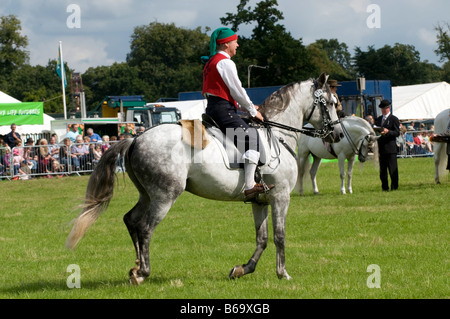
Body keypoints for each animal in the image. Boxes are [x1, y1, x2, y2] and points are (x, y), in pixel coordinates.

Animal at [65, 74, 342, 286]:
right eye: (330, 103)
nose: (338, 134)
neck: (277, 134)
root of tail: (135, 138)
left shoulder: (260, 201)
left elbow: (262, 239)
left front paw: (242, 269)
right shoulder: (280, 196)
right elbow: (279, 236)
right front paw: (283, 273)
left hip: (147, 194)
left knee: (131, 220)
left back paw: (135, 268)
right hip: (165, 195)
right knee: (145, 228)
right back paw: (143, 272)